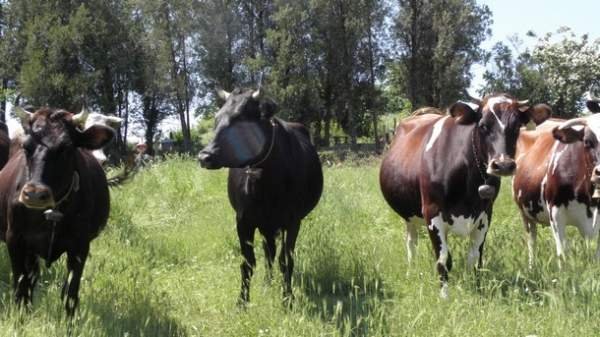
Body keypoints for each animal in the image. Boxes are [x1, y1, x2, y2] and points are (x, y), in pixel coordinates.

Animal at [0, 106, 114, 314]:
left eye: (66, 148)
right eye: (26, 147)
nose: (34, 194)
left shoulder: (80, 247)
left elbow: (70, 294)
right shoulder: (14, 239)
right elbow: (21, 287)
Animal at [198, 86, 324, 302]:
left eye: (240, 119)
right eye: (216, 118)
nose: (204, 156)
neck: (266, 181)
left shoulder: (293, 221)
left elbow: (286, 260)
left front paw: (288, 298)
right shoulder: (243, 220)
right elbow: (247, 262)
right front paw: (242, 301)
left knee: (272, 253)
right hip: (265, 225)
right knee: (268, 252)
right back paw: (267, 283)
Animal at [382, 94, 552, 296]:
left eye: (517, 126)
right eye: (483, 125)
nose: (503, 165)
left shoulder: (485, 214)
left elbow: (475, 258)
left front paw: (477, 291)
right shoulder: (432, 213)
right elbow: (443, 261)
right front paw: (444, 296)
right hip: (410, 215)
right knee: (411, 242)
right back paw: (412, 270)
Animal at [510, 98, 600, 266]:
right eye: (587, 142)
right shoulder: (556, 215)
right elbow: (563, 255)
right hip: (525, 213)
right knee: (531, 241)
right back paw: (532, 266)